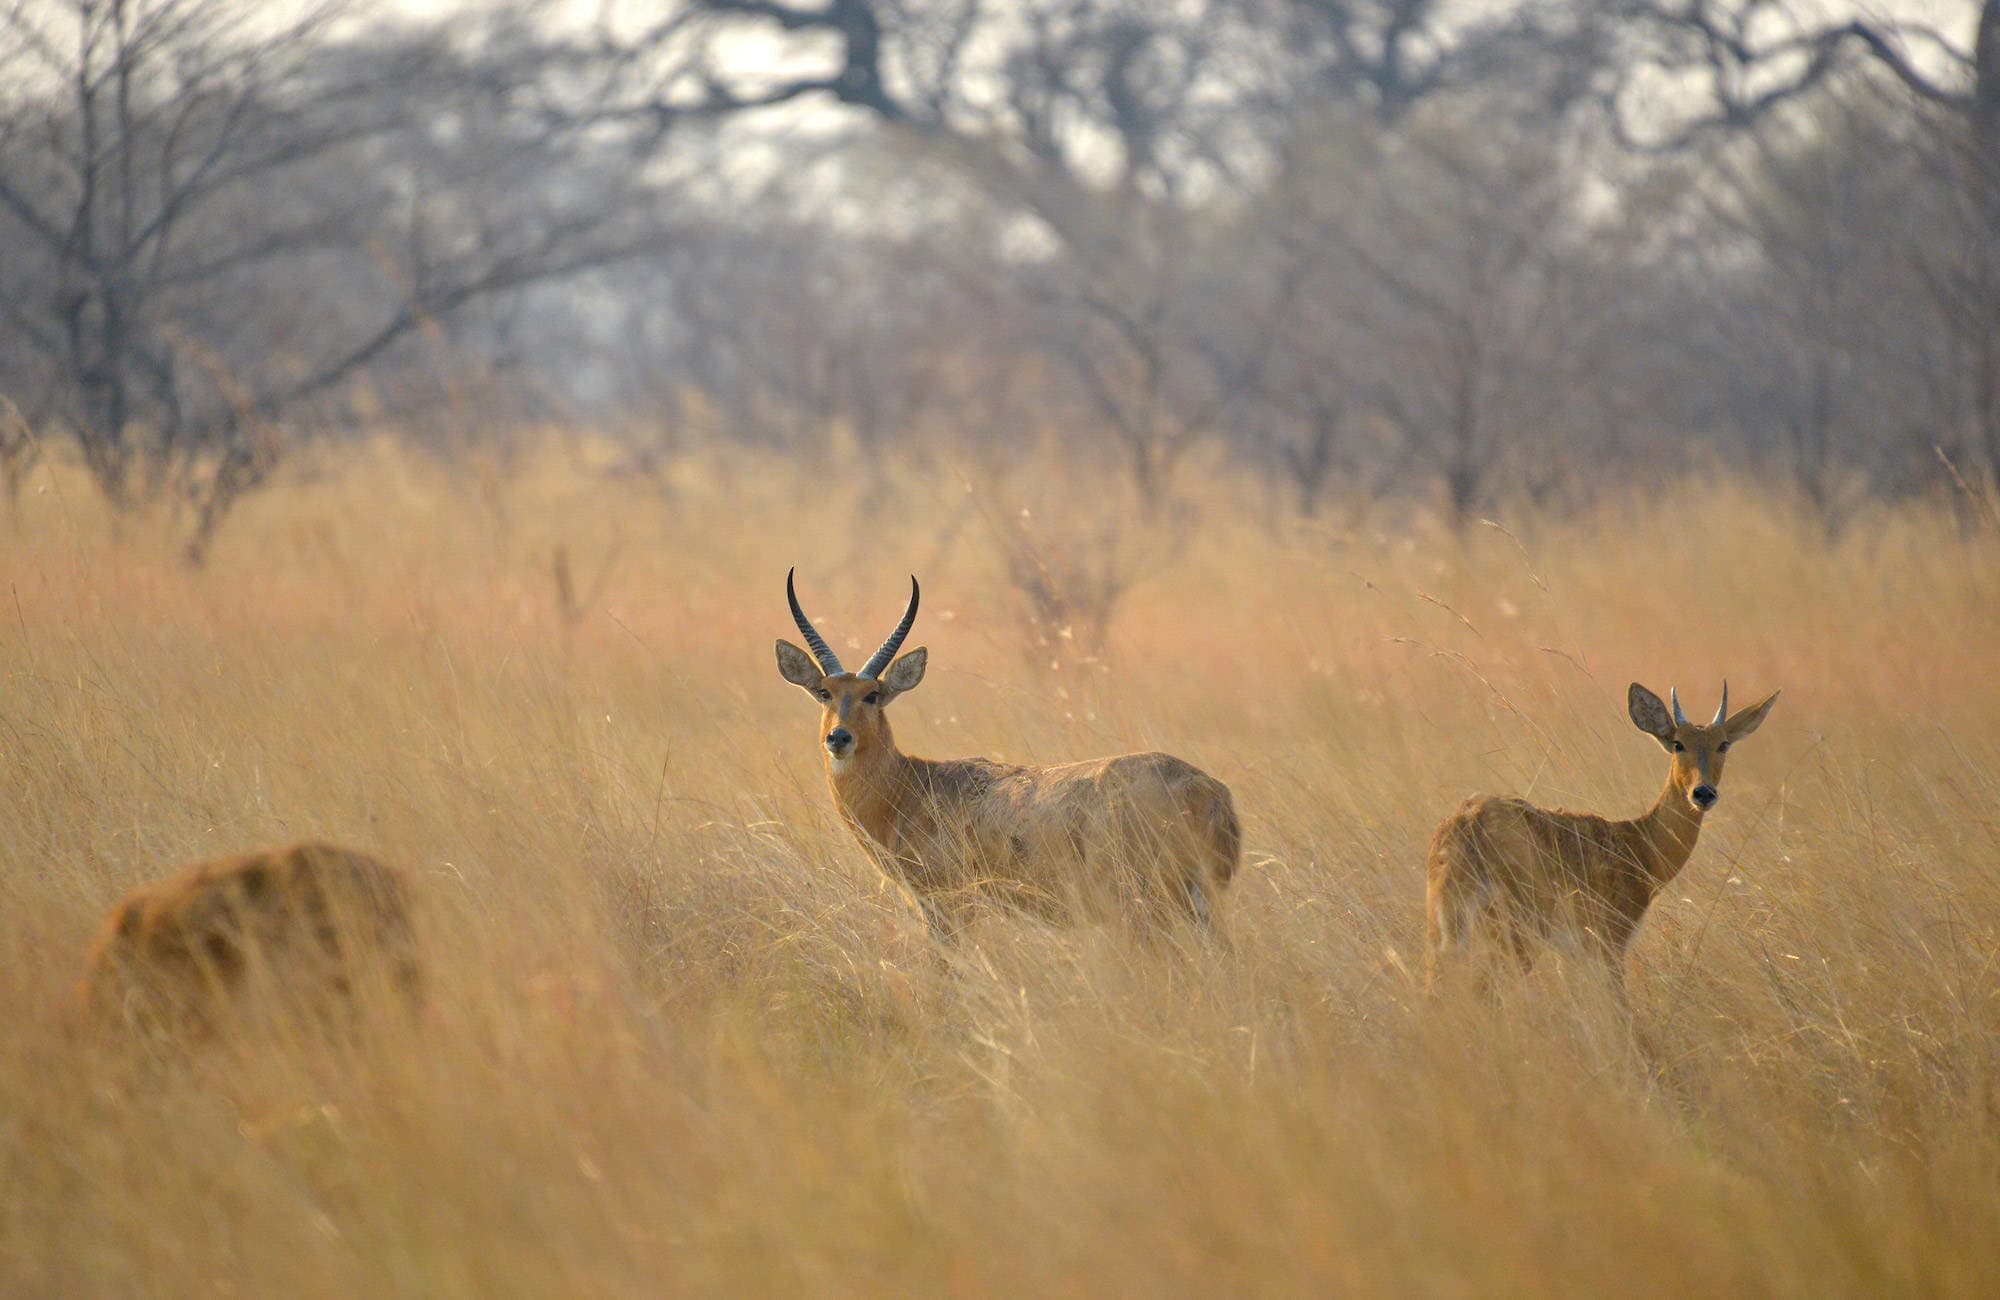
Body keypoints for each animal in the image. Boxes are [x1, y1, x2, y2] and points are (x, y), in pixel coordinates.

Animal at [776, 570, 1241, 939]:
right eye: (825, 692)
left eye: (872, 694)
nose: (839, 738)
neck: (909, 788)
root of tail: (1208, 789)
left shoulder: (945, 909)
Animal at [1424, 682, 1780, 997]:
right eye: (1678, 743)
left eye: (1723, 744)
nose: (1703, 792)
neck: (1640, 847)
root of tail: (1466, 827)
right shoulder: (1610, 941)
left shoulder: (1573, 953)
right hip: (1514, 931)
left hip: (1445, 928)